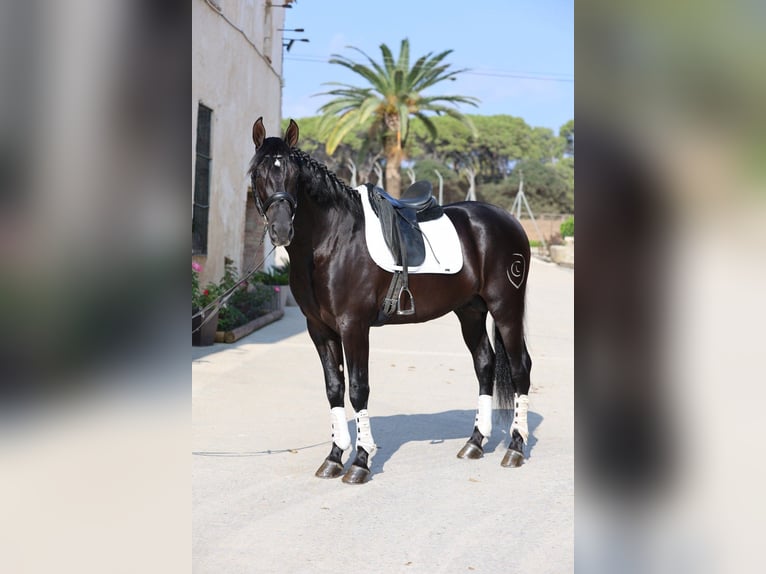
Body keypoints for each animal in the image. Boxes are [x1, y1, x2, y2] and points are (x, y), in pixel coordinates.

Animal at [249, 117, 533, 484]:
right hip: (470, 311)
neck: (332, 241)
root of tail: (509, 222)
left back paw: (515, 448)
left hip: (505, 307)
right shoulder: (319, 329)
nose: (282, 230)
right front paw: (334, 457)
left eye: (295, 175)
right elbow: (333, 388)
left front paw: (360, 462)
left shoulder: (353, 326)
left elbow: (358, 388)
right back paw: (475, 443)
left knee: (520, 368)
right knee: (484, 364)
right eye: (257, 173)